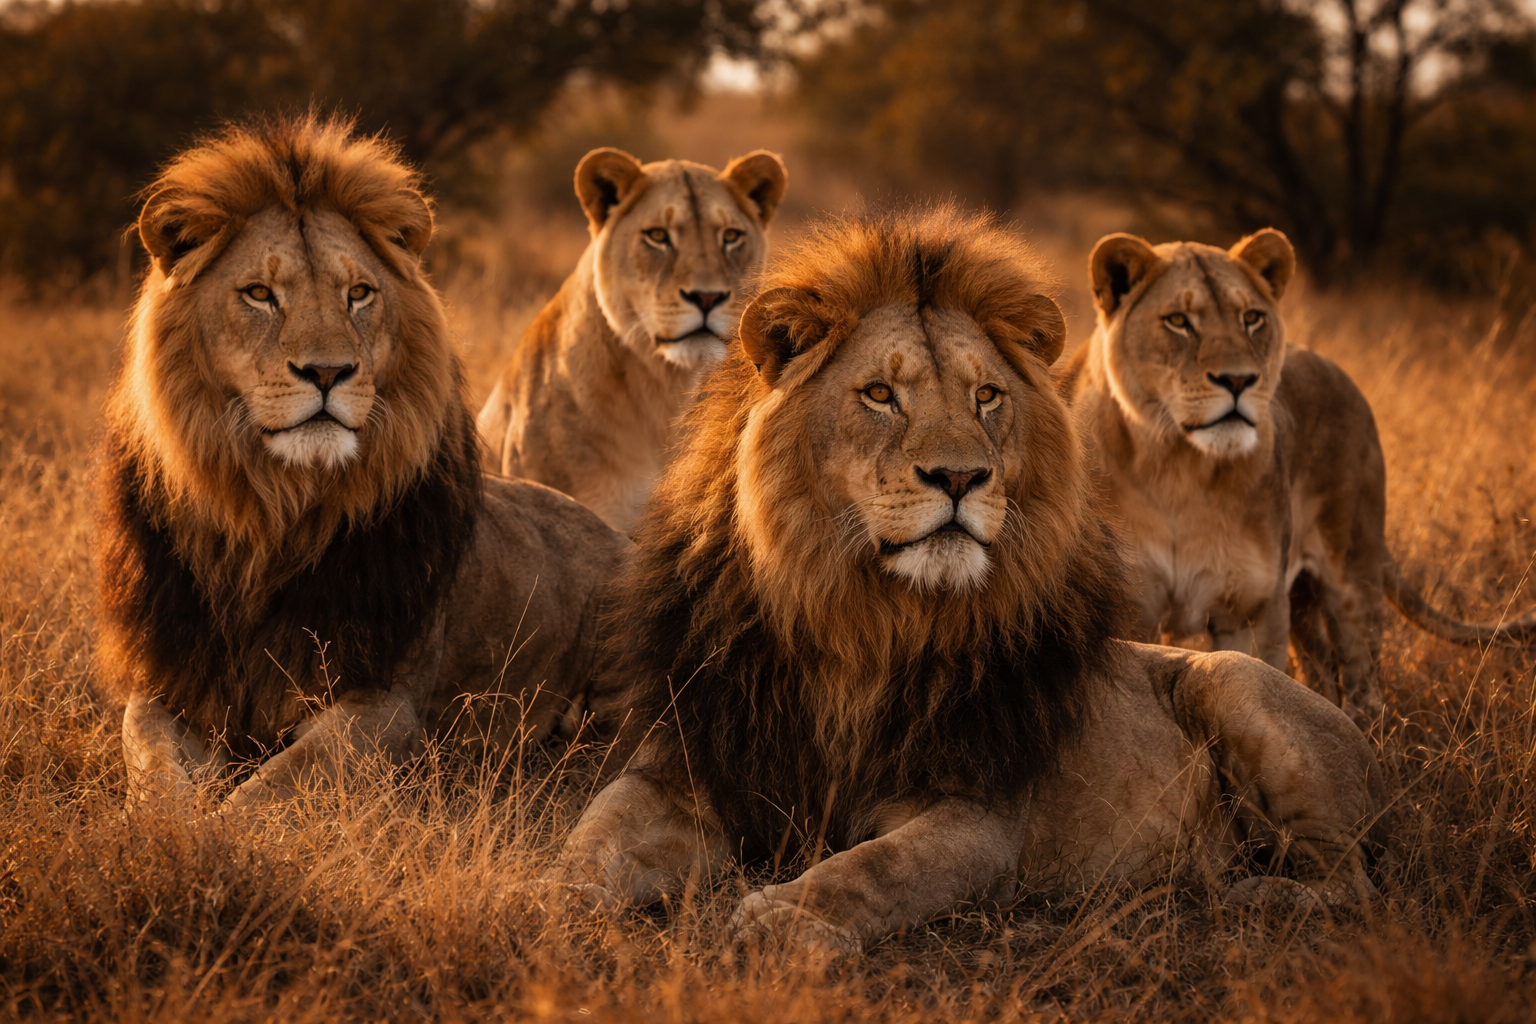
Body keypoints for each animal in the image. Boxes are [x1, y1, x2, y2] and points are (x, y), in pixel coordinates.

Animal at [99, 116, 631, 810]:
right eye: (259, 294)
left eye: (358, 294)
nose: (328, 372)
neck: (273, 515)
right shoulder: (172, 682)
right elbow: (154, 768)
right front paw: (163, 829)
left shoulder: (385, 702)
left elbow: (268, 790)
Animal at [542, 210, 1390, 955]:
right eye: (880, 395)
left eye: (986, 397)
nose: (959, 477)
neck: (856, 618)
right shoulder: (687, 765)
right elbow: (593, 837)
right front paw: (549, 901)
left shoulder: (978, 819)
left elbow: (873, 868)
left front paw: (783, 919)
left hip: (1235, 683)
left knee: (1352, 884)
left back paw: (1251, 895)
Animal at [1059, 230, 1536, 725]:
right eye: (1178, 322)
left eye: (1252, 318)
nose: (1238, 380)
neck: (1178, 468)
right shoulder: (1131, 611)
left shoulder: (1253, 610)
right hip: (1303, 599)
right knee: (1320, 668)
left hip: (1351, 570)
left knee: (1360, 675)